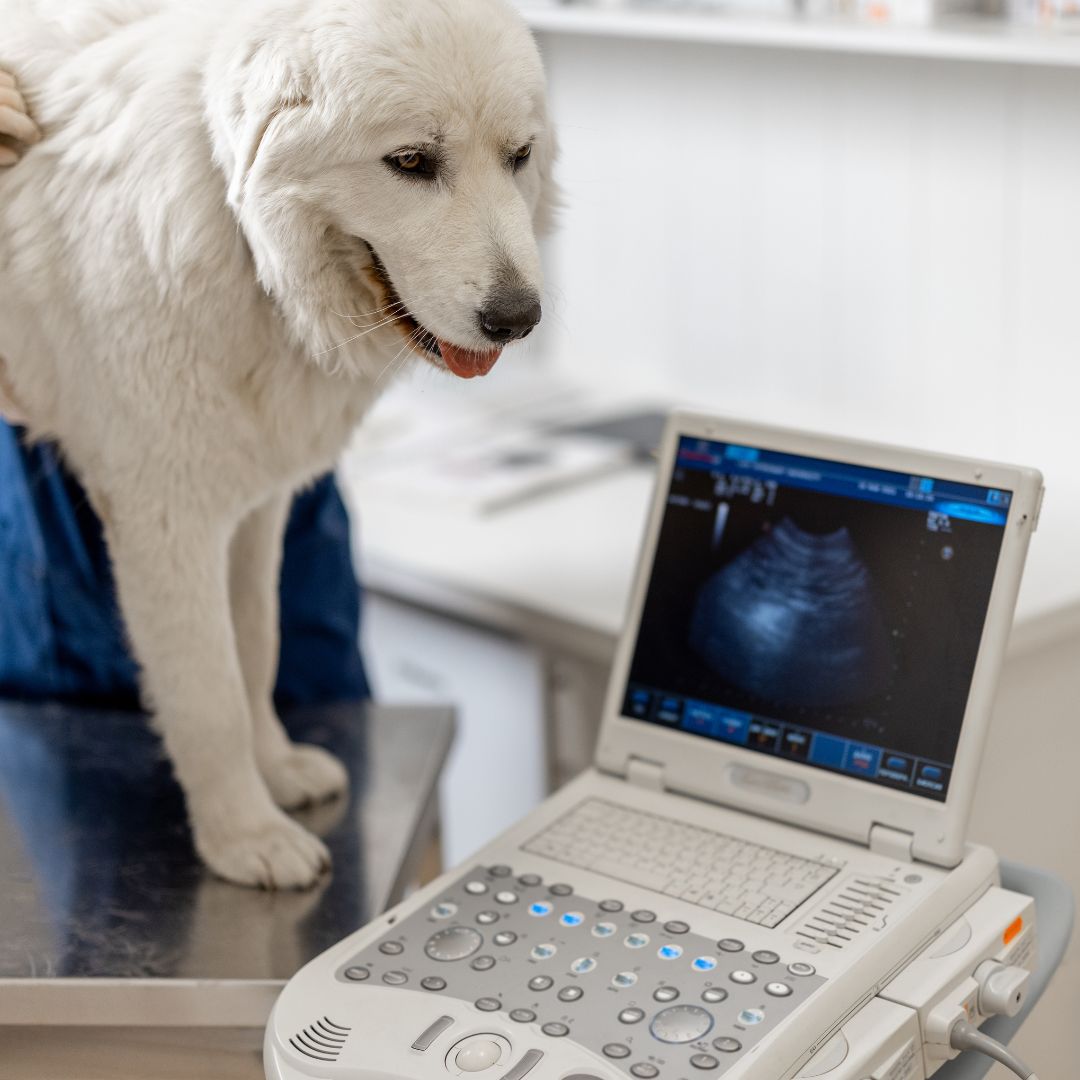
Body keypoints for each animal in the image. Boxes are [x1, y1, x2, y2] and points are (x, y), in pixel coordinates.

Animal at [0, 0, 552, 885]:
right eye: (411, 162)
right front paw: (244, 836)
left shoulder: (252, 507)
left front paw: (278, 769)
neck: (246, 245)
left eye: (518, 157)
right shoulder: (167, 523)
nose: (519, 318)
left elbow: (255, 646)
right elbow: (209, 691)